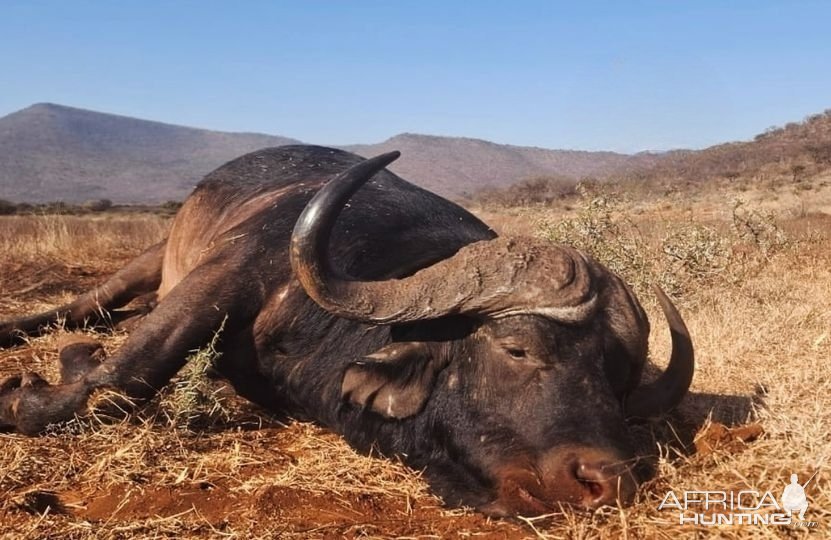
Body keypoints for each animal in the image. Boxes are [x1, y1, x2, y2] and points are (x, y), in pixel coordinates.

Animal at [0, 146, 696, 516]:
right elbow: (118, 380)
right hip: (151, 261)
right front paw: (34, 386)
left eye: (615, 379)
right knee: (88, 305)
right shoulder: (227, 272)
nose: (607, 481)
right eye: (518, 348)